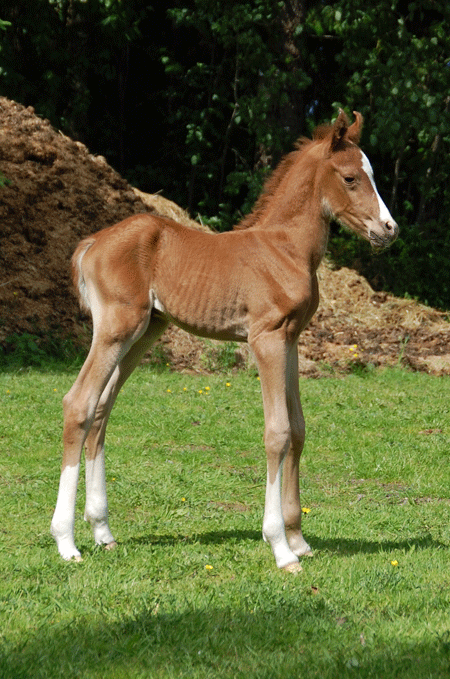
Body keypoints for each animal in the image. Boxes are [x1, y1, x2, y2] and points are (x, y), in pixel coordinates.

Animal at [51, 109, 398, 572]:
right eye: (350, 178)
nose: (389, 229)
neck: (284, 249)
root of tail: (92, 243)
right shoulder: (265, 339)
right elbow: (278, 431)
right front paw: (281, 547)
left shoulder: (291, 340)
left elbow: (299, 428)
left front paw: (299, 537)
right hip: (116, 329)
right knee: (79, 404)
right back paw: (66, 541)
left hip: (144, 333)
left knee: (102, 409)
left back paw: (103, 531)